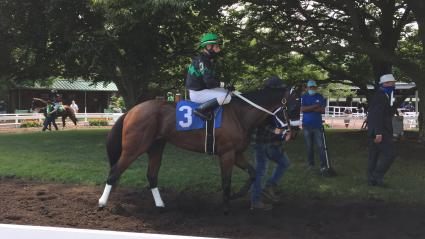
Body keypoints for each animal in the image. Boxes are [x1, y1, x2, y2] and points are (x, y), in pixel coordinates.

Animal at [97, 86, 300, 213]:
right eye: (294, 107)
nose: (294, 132)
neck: (239, 114)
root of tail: (132, 110)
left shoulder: (237, 153)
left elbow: (253, 173)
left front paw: (237, 195)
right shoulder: (227, 153)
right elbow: (226, 180)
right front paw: (226, 207)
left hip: (156, 147)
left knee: (151, 175)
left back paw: (161, 205)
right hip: (134, 148)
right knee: (114, 172)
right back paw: (101, 203)